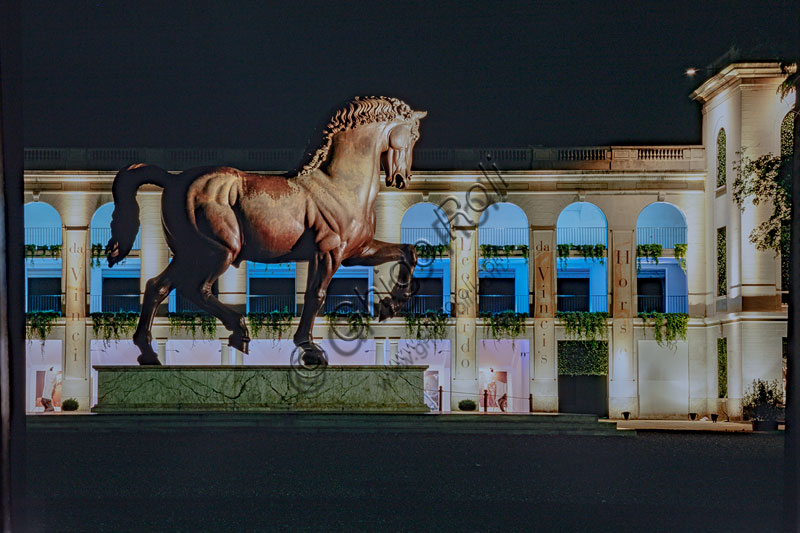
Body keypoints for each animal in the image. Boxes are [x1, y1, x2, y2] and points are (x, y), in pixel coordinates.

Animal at [111, 96, 432, 366]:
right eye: (413, 135)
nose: (401, 178)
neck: (339, 184)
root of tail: (173, 179)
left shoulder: (356, 251)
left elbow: (408, 252)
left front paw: (390, 306)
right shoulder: (328, 252)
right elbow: (316, 295)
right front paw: (310, 350)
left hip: (189, 253)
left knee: (157, 286)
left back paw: (148, 353)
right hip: (219, 250)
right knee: (196, 288)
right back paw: (239, 331)